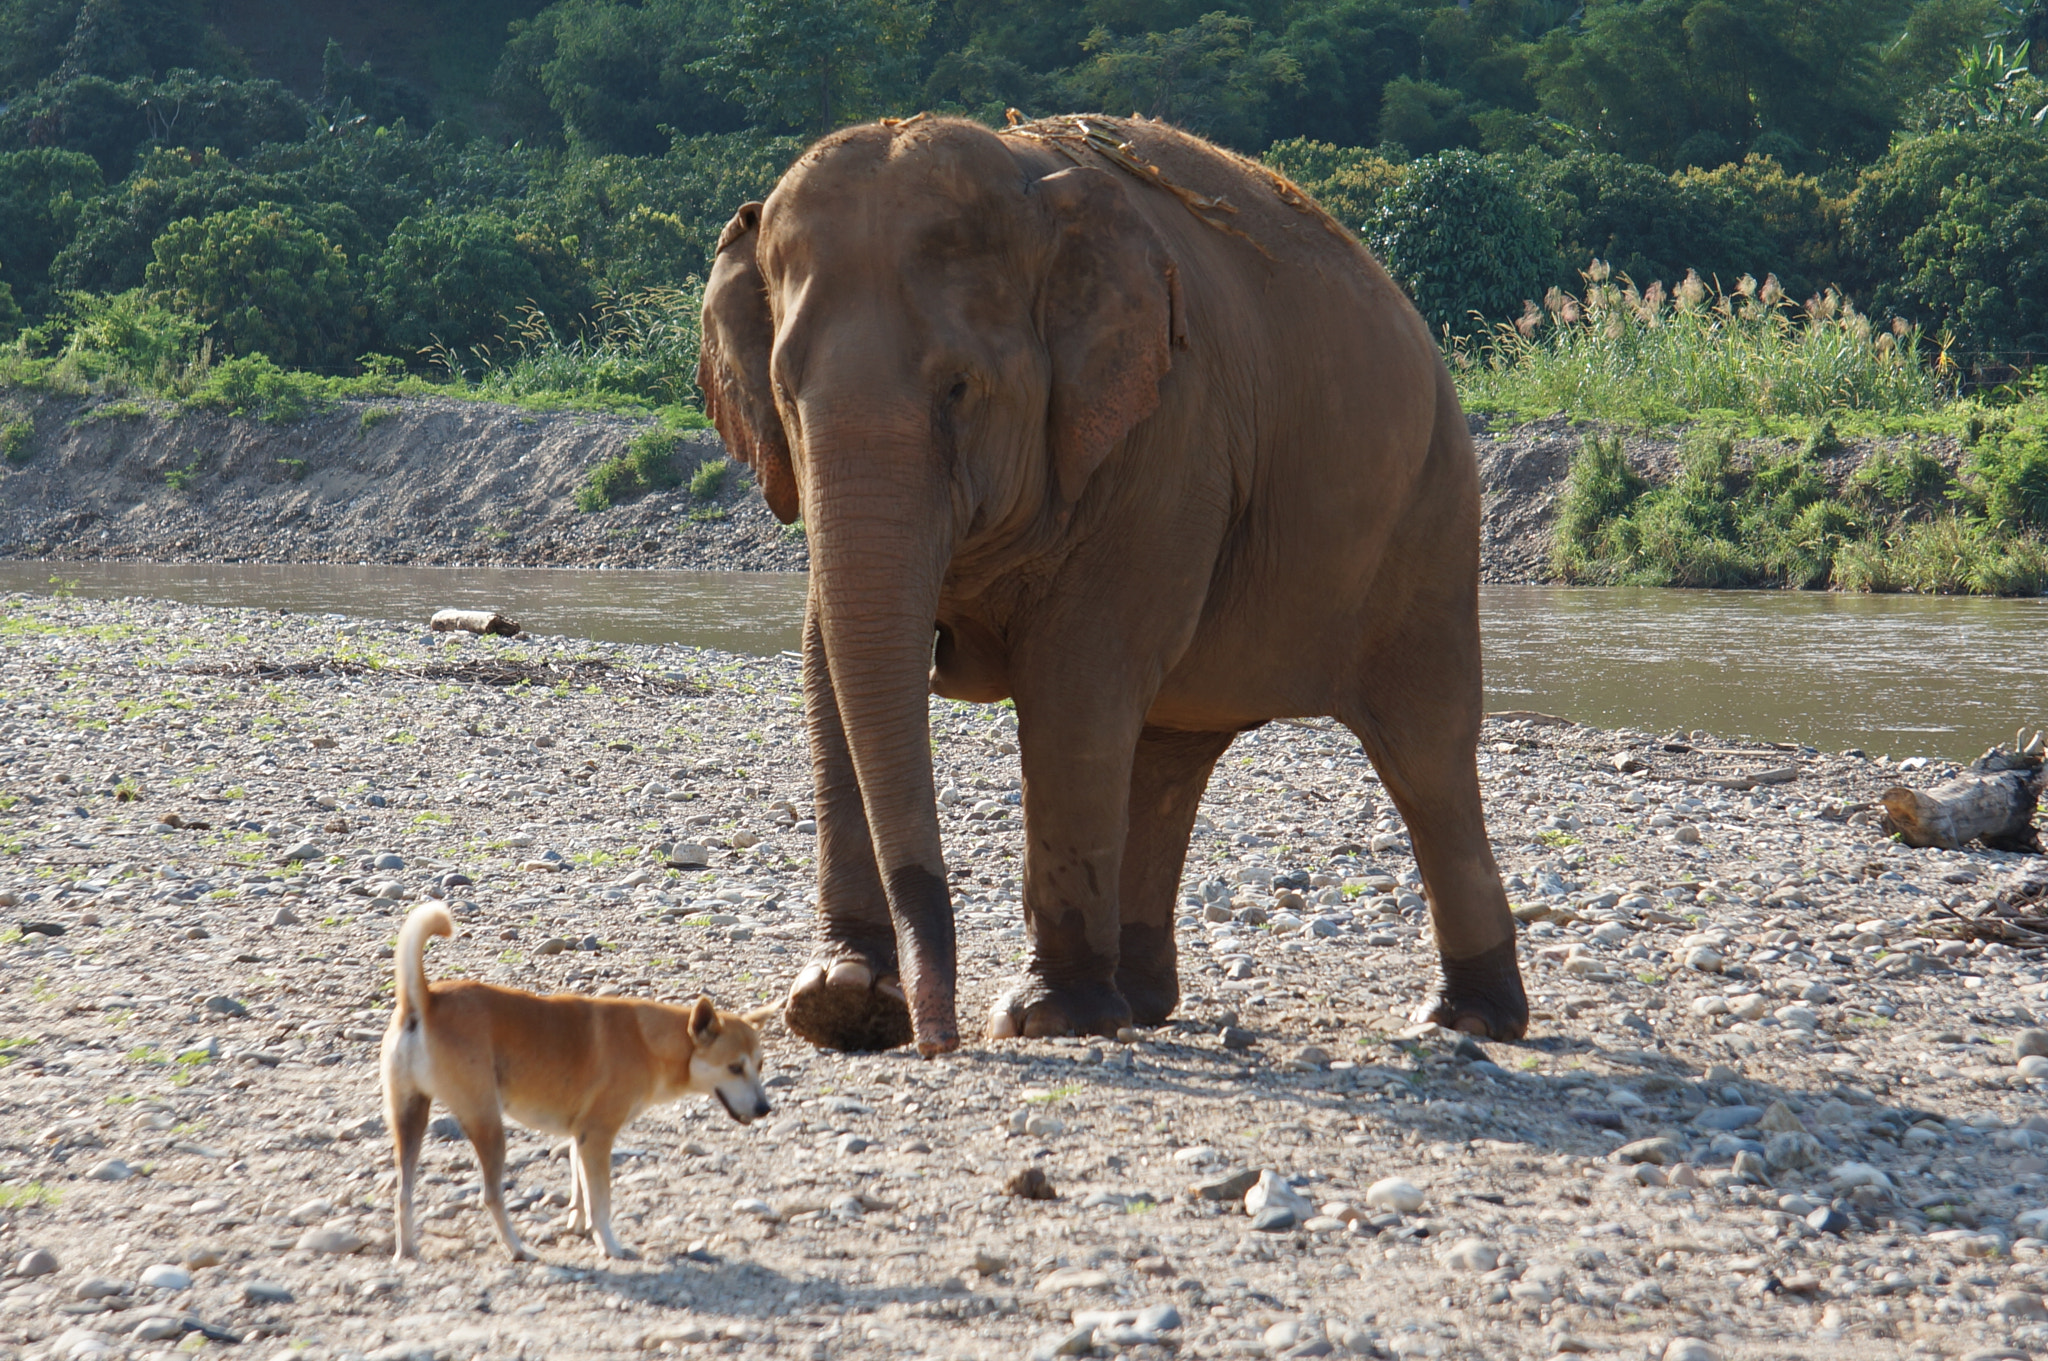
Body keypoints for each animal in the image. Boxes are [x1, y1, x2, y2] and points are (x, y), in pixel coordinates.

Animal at [380, 908, 770, 1260]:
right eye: (735, 1068)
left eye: (760, 1065)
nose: (765, 1109)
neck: (653, 1043)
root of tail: (426, 1000)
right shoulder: (597, 1136)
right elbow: (601, 1202)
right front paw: (609, 1245)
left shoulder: (579, 1138)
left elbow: (580, 1189)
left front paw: (578, 1227)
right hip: (487, 1124)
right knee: (490, 1195)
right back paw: (518, 1249)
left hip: (409, 1117)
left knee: (403, 1192)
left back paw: (406, 1251)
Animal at [696, 111, 1531, 1056]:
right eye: (784, 393)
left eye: (960, 387)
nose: (936, 1036)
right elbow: (829, 662)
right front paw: (839, 1003)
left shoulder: (1168, 434)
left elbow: (1075, 677)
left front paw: (1043, 1017)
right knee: (1169, 754)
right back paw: (1141, 999)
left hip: (1431, 520)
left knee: (1426, 754)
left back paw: (1467, 1017)